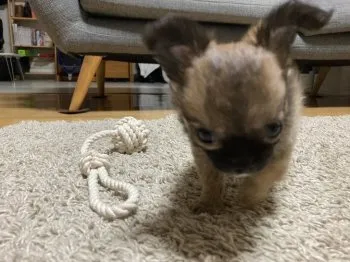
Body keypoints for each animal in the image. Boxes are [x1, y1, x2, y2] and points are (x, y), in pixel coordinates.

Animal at [143, 0, 334, 213]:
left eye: (274, 129)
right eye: (205, 135)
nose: (242, 162)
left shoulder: (281, 150)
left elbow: (262, 177)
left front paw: (247, 203)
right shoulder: (202, 152)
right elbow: (210, 178)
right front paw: (209, 204)